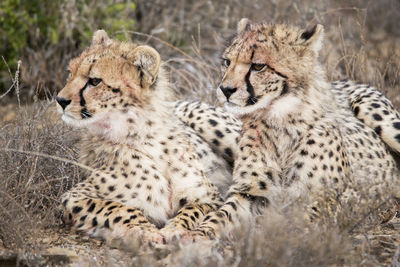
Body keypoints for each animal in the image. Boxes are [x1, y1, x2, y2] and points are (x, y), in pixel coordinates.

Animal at [55, 29, 231, 245]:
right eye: (70, 74)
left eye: (95, 81)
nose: (60, 100)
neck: (143, 135)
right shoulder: (73, 197)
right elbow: (118, 208)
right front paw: (146, 230)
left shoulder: (212, 197)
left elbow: (193, 209)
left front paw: (173, 229)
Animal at [175, 19, 400, 241]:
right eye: (227, 62)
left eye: (258, 66)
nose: (226, 90)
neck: (278, 118)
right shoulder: (248, 193)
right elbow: (219, 216)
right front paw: (195, 238)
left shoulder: (330, 198)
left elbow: (300, 225)